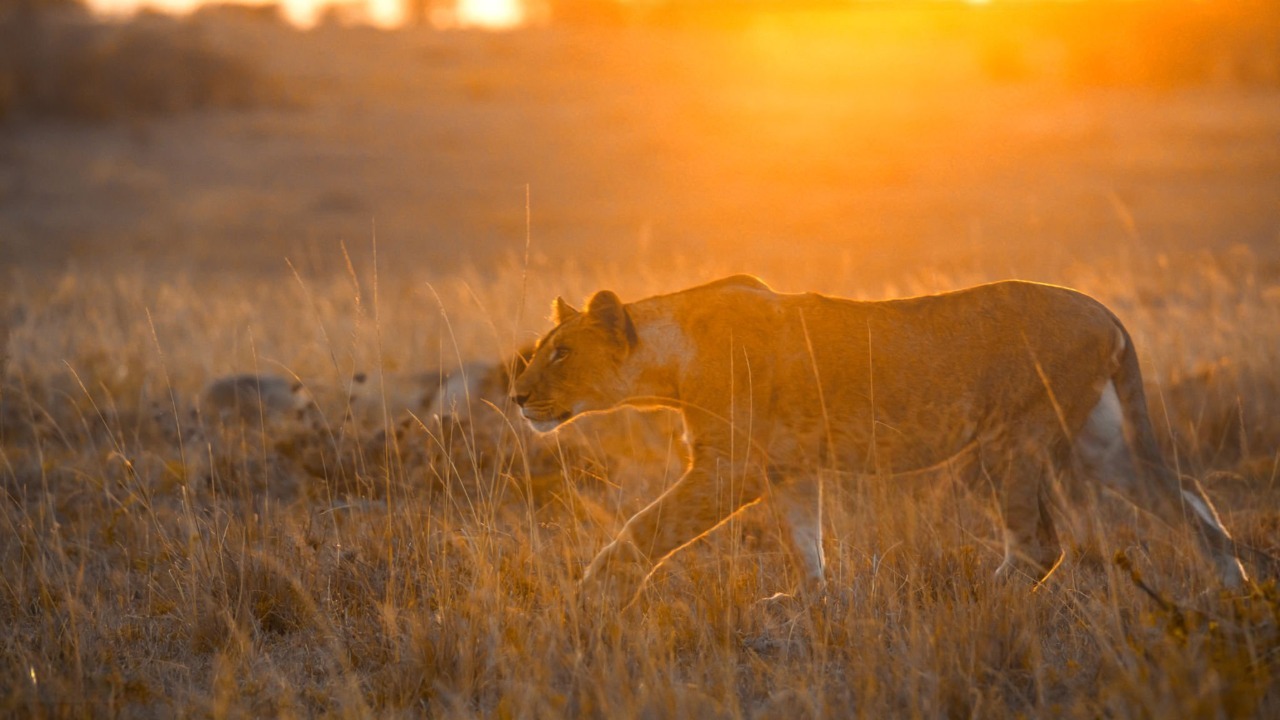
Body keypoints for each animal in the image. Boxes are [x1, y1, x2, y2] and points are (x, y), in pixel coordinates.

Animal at [511, 275, 1254, 603]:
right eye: (543, 350)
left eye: (561, 354)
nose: (516, 397)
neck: (669, 360)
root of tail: (1104, 309)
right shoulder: (786, 468)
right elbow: (805, 540)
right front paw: (807, 602)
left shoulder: (729, 468)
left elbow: (644, 527)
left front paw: (592, 594)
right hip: (1098, 443)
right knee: (1185, 494)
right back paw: (1234, 585)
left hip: (1011, 438)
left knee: (1040, 545)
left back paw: (973, 597)